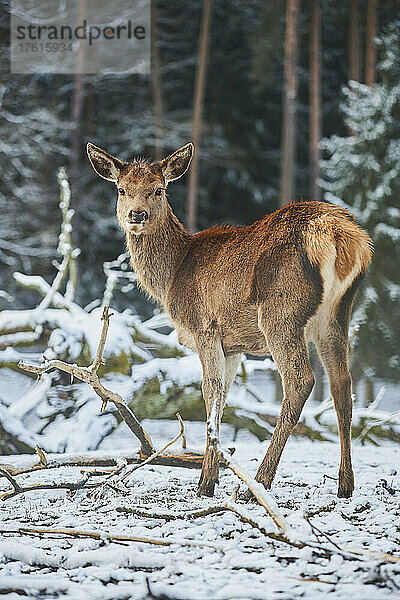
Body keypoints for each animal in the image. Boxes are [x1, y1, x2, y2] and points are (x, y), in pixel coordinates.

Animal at [86, 143, 372, 500]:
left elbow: (210, 392)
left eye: (159, 189)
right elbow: (223, 396)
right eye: (121, 189)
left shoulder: (204, 326)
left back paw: (259, 482)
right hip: (336, 314)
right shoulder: (233, 345)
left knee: (300, 381)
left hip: (281, 311)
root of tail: (340, 235)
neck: (172, 275)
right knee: (342, 385)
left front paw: (205, 482)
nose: (136, 215)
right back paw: (345, 484)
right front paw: (213, 474)